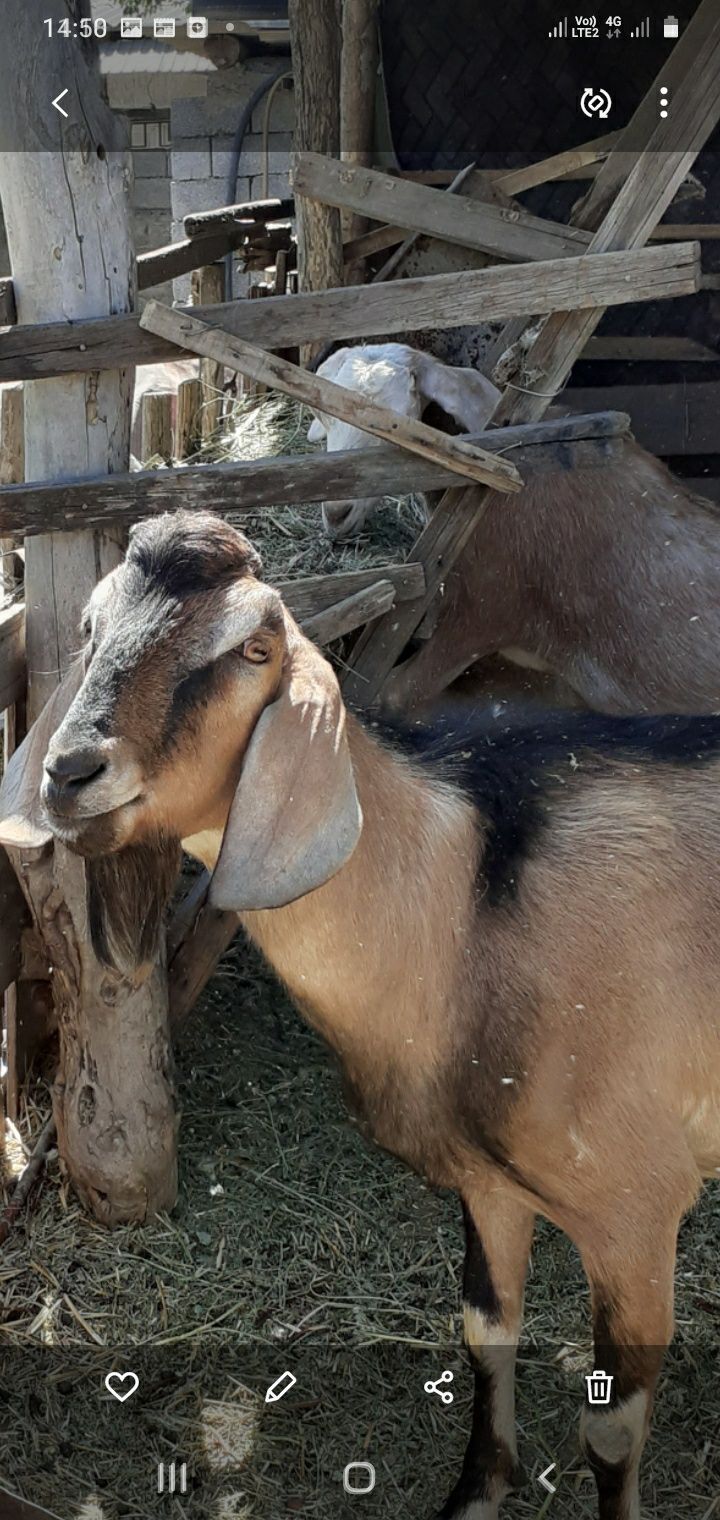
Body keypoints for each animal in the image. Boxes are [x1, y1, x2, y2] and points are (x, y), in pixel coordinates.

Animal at [2, 510, 716, 1520]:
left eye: (254, 648)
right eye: (93, 627)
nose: (70, 773)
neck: (470, 910)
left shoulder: (639, 1207)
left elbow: (611, 1429)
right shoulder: (489, 1184)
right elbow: (483, 1331)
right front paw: (477, 1493)